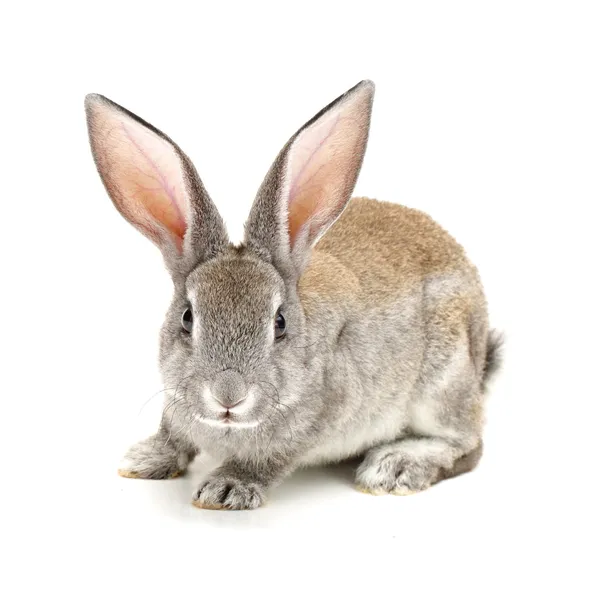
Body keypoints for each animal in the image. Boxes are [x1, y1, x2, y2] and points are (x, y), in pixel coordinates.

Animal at [85, 79, 502, 508]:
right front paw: (145, 458)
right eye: (187, 318)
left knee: (467, 444)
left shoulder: (319, 417)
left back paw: (395, 466)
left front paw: (226, 488)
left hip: (443, 381)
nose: (228, 395)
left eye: (280, 322)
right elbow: (174, 435)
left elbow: (268, 459)